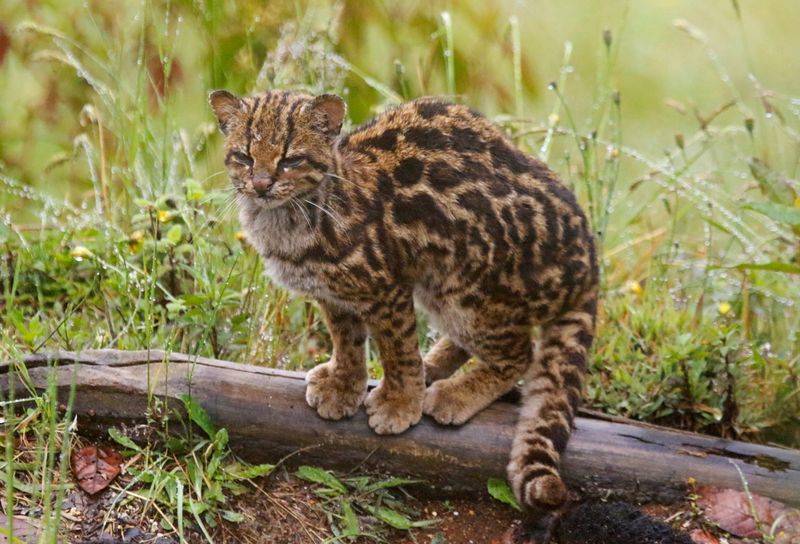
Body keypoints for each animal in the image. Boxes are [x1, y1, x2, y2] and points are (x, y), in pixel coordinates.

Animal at [209, 89, 596, 516]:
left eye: (290, 160)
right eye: (244, 156)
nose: (261, 184)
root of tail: (588, 261)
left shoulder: (387, 287)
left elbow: (397, 349)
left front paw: (400, 403)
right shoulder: (332, 293)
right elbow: (346, 340)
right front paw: (343, 385)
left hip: (465, 285)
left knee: (520, 354)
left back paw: (455, 393)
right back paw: (436, 366)